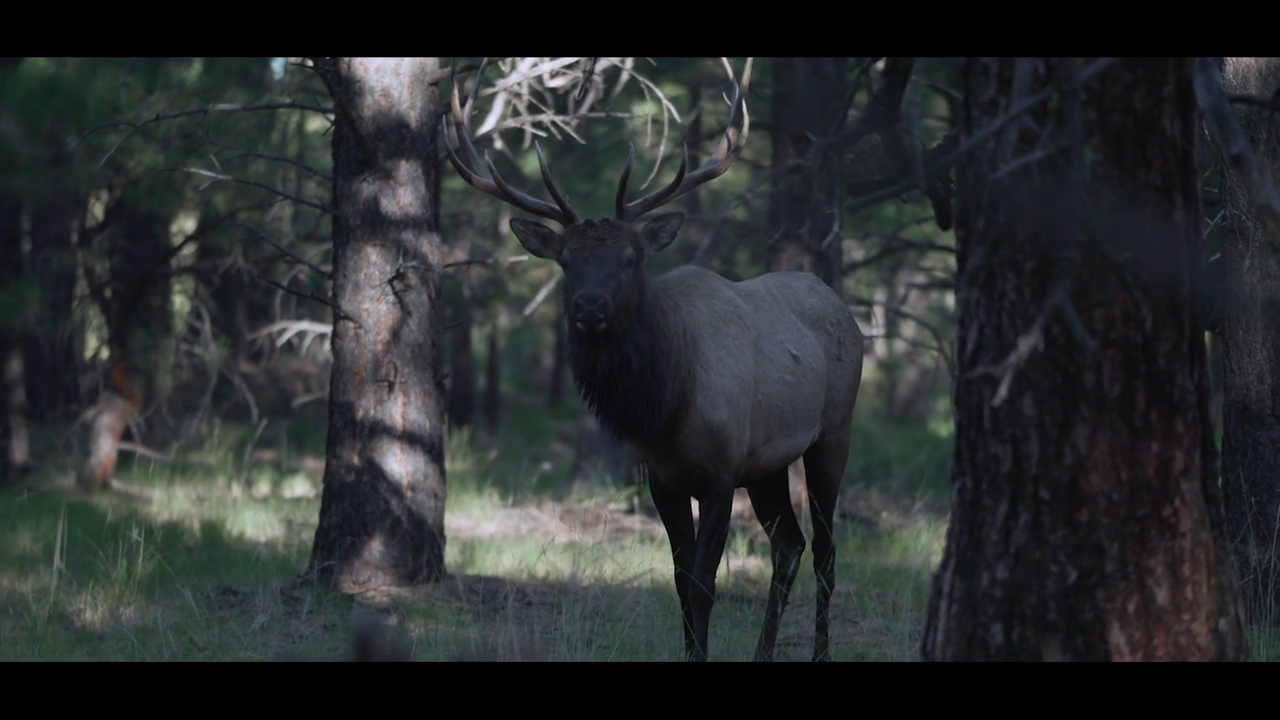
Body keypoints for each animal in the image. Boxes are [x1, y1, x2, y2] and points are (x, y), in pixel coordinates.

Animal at [441, 58, 864, 662]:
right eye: (567, 261)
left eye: (629, 258)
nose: (590, 307)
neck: (664, 405)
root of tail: (840, 304)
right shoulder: (662, 478)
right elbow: (680, 583)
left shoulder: (720, 473)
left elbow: (705, 586)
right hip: (768, 463)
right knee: (789, 543)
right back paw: (764, 652)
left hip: (833, 432)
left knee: (826, 551)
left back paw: (820, 652)